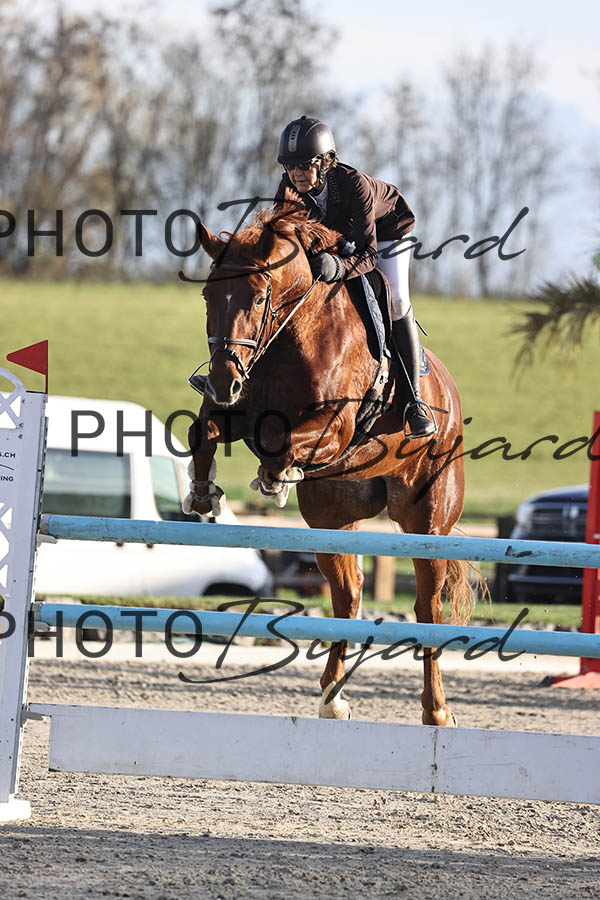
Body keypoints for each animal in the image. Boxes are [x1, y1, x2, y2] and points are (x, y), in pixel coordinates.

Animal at [183, 195, 476, 726]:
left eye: (258, 297)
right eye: (208, 298)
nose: (222, 381)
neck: (291, 334)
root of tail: (448, 390)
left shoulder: (334, 428)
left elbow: (281, 441)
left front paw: (275, 479)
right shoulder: (239, 410)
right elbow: (206, 430)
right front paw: (202, 493)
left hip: (427, 523)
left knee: (428, 609)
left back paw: (437, 711)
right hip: (331, 519)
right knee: (349, 594)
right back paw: (332, 698)